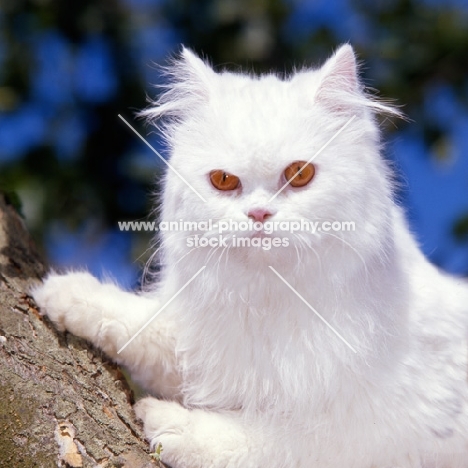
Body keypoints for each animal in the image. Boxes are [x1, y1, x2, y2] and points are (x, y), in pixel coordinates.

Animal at [33, 44, 468, 468]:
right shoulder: (207, 349)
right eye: (224, 181)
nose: (259, 214)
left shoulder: (389, 434)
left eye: (299, 174)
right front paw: (61, 293)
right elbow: (142, 324)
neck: (267, 300)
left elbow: (276, 442)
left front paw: (171, 425)